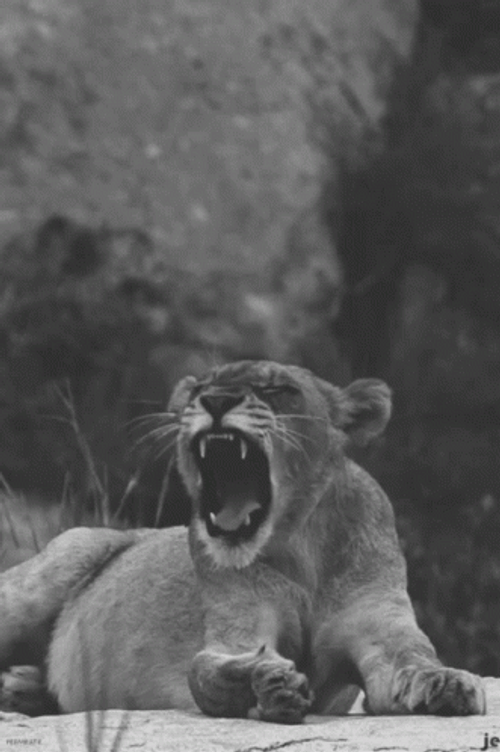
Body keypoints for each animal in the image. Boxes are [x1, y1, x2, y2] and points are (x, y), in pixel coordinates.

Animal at [0, 360, 486, 722]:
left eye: (278, 388)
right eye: (201, 388)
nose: (215, 401)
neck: (299, 548)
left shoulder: (379, 626)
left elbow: (413, 659)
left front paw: (445, 683)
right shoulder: (237, 627)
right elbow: (205, 671)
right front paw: (266, 683)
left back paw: (22, 687)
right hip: (56, 565)